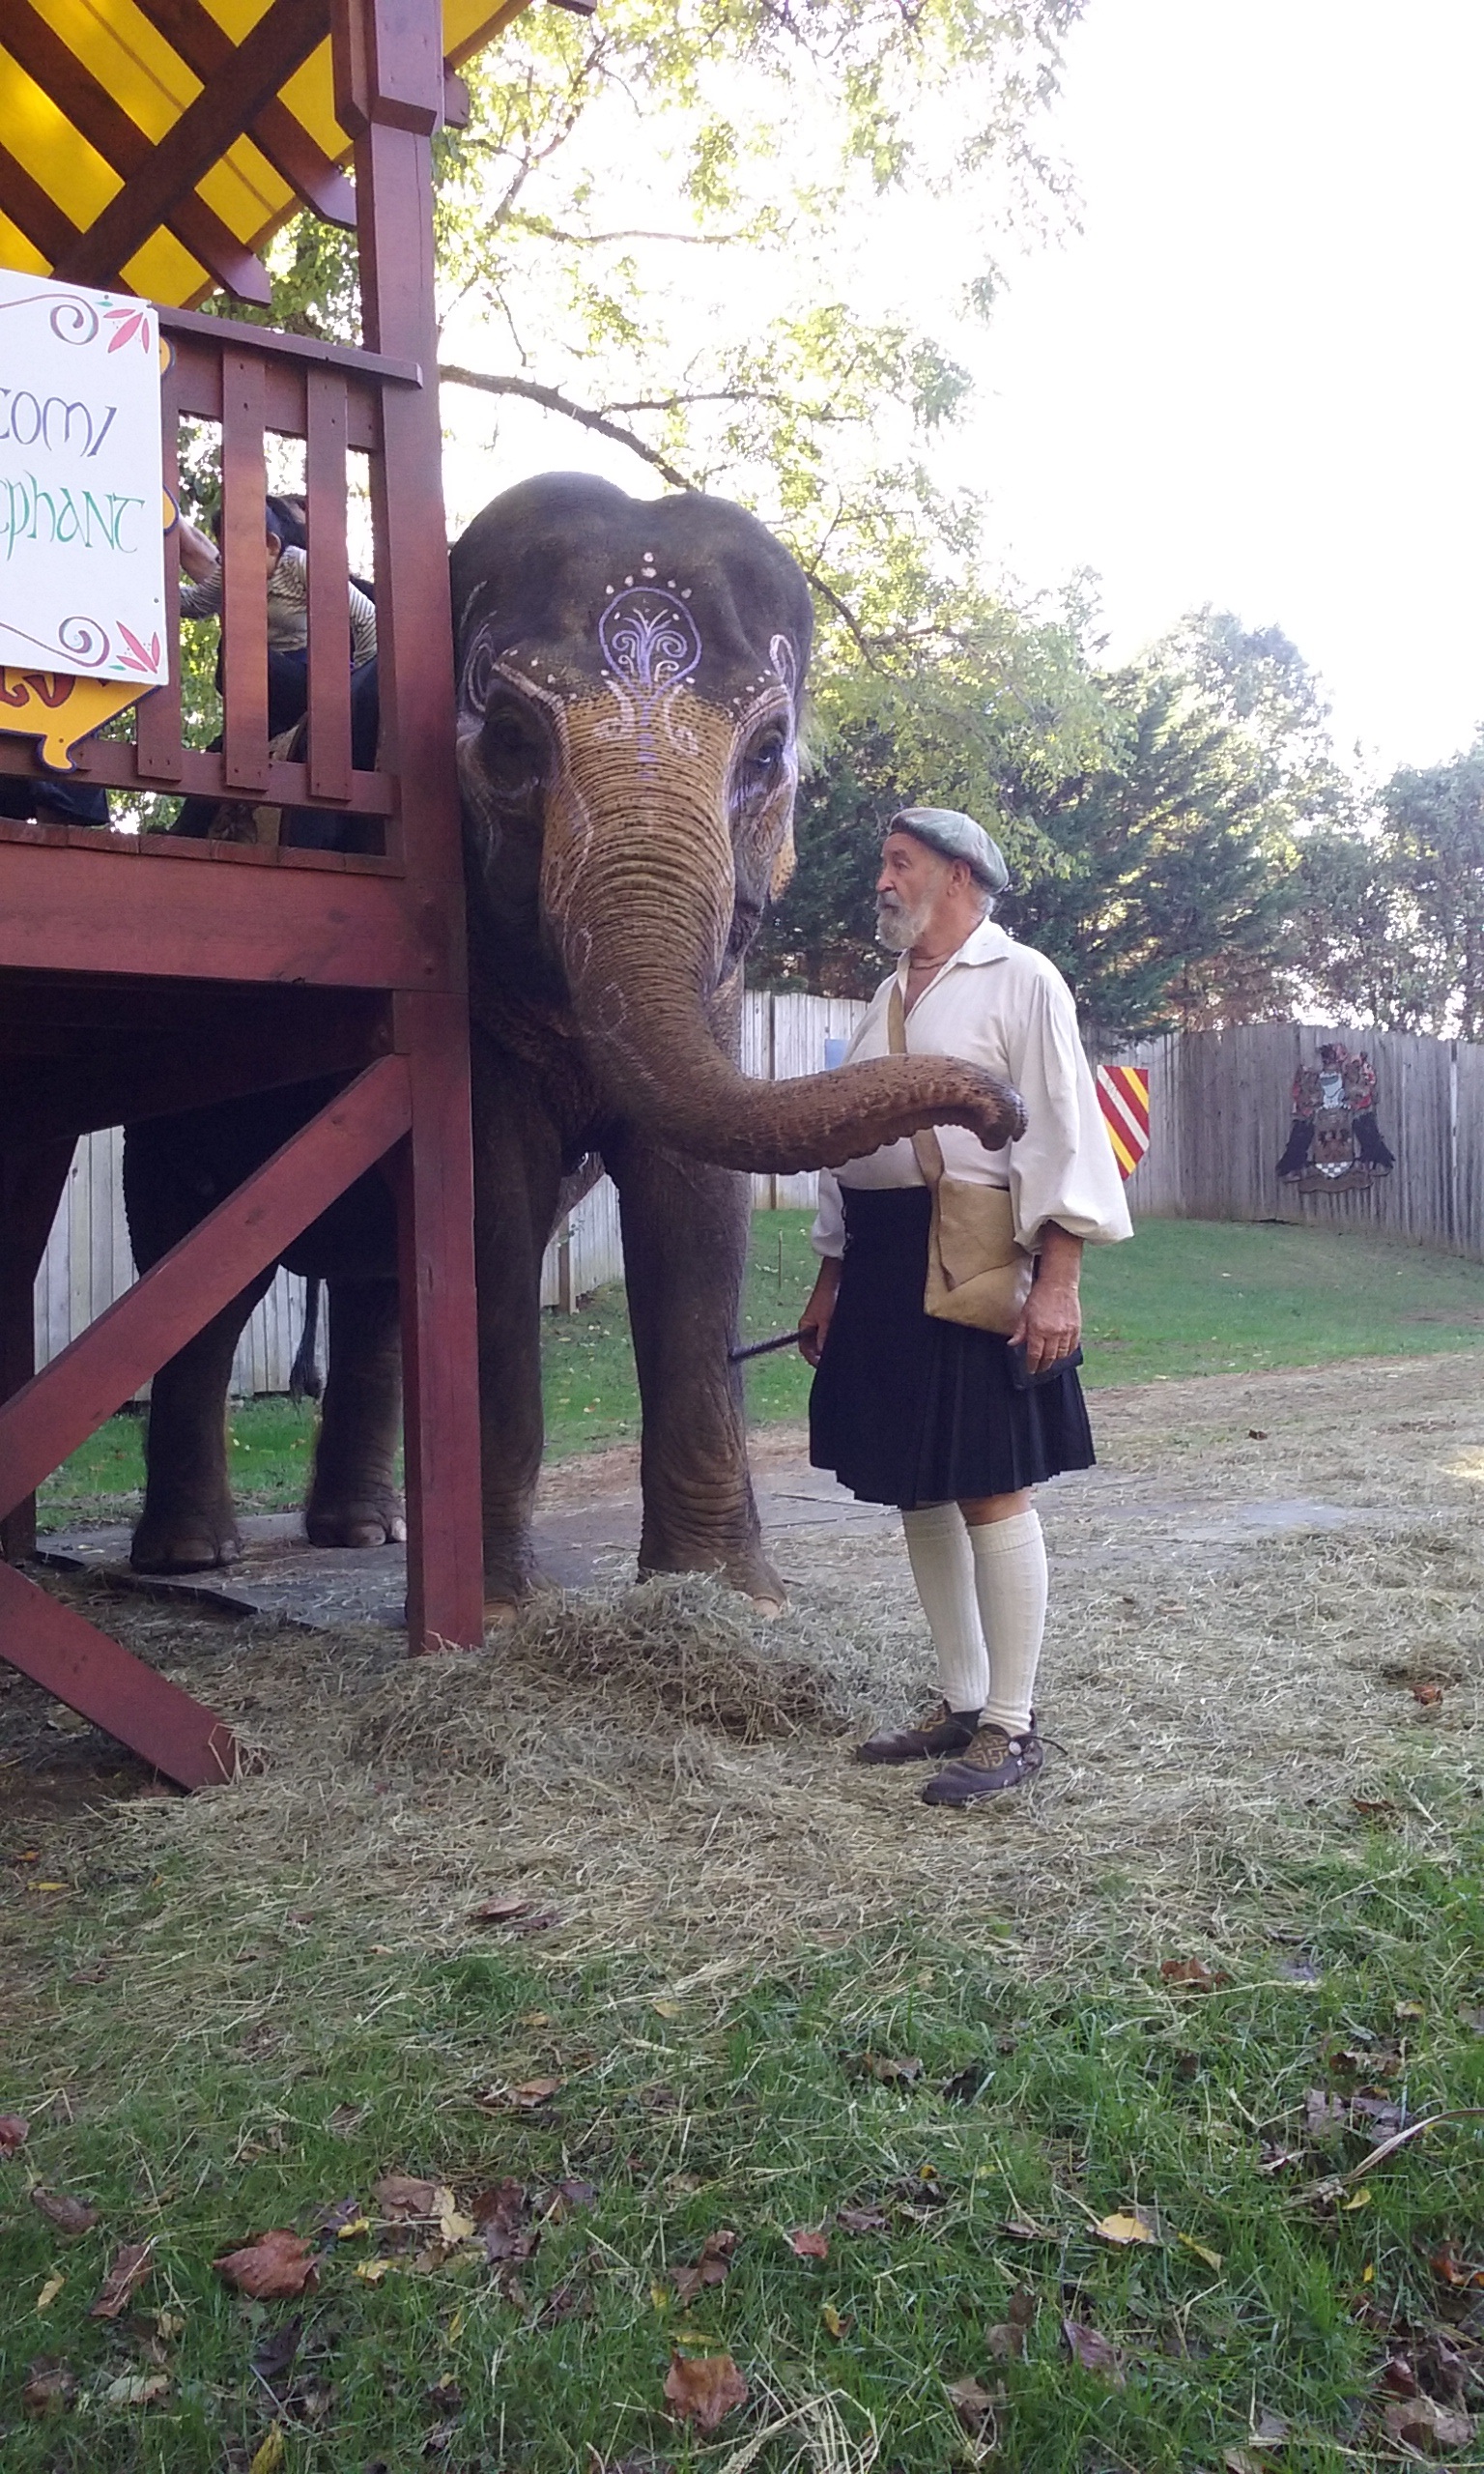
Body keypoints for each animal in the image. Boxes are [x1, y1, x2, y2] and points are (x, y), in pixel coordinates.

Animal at [118, 472, 1018, 1613]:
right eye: (507, 739)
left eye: (768, 751)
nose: (1005, 1112)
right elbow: (493, 1197)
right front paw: (505, 1609)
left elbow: (697, 1205)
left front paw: (726, 1595)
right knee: (202, 1274)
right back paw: (194, 1557)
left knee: (377, 1293)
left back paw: (363, 1532)